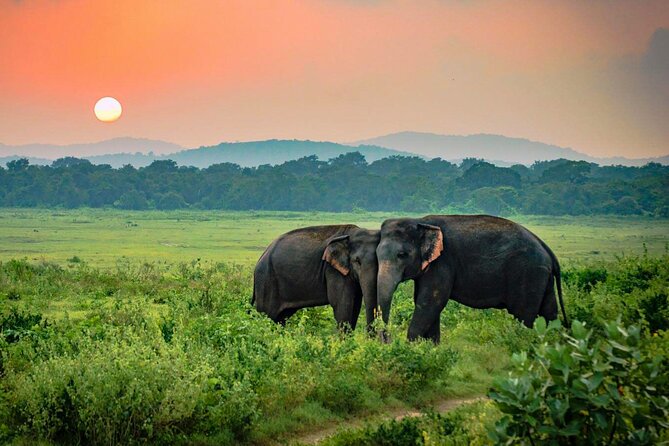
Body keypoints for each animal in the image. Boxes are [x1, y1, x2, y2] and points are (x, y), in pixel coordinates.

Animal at [250, 223, 378, 332]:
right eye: (357, 261)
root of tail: (261, 257)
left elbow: (355, 305)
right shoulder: (333, 270)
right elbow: (342, 305)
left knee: (280, 318)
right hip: (266, 281)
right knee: (266, 315)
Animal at [374, 214, 568, 344]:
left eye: (402, 255)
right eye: (376, 254)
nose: (387, 340)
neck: (420, 221)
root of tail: (547, 249)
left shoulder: (443, 262)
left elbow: (430, 302)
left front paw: (412, 348)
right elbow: (426, 303)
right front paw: (431, 349)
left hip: (528, 274)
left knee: (523, 315)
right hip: (542, 276)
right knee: (549, 311)